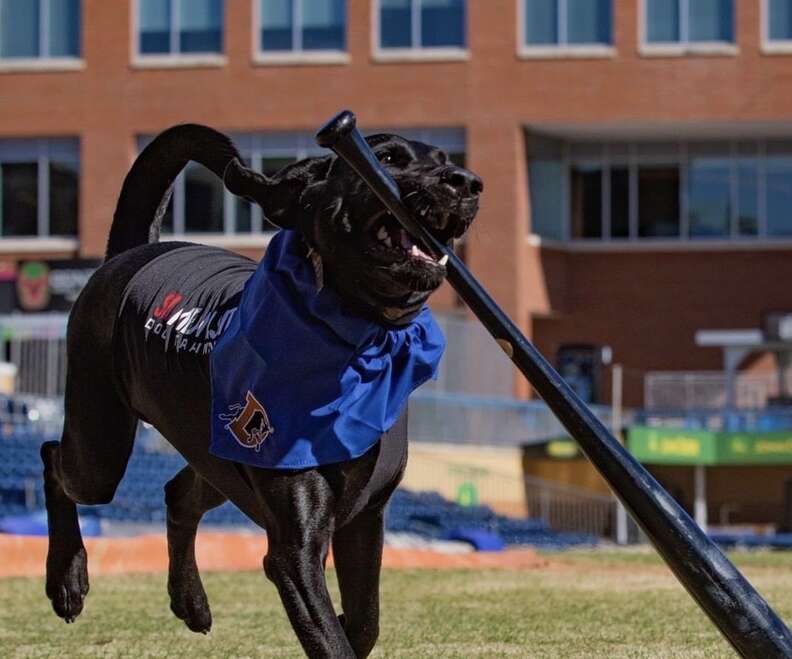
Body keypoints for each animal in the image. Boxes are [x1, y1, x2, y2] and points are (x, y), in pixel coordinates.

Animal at [41, 125, 482, 659]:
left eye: (443, 157)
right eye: (387, 158)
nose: (465, 181)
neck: (358, 340)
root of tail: (127, 255)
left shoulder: (366, 520)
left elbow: (364, 622)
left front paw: (345, 620)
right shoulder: (295, 548)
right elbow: (334, 636)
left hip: (214, 453)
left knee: (178, 495)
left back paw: (190, 601)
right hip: (99, 445)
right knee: (54, 459)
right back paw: (67, 580)